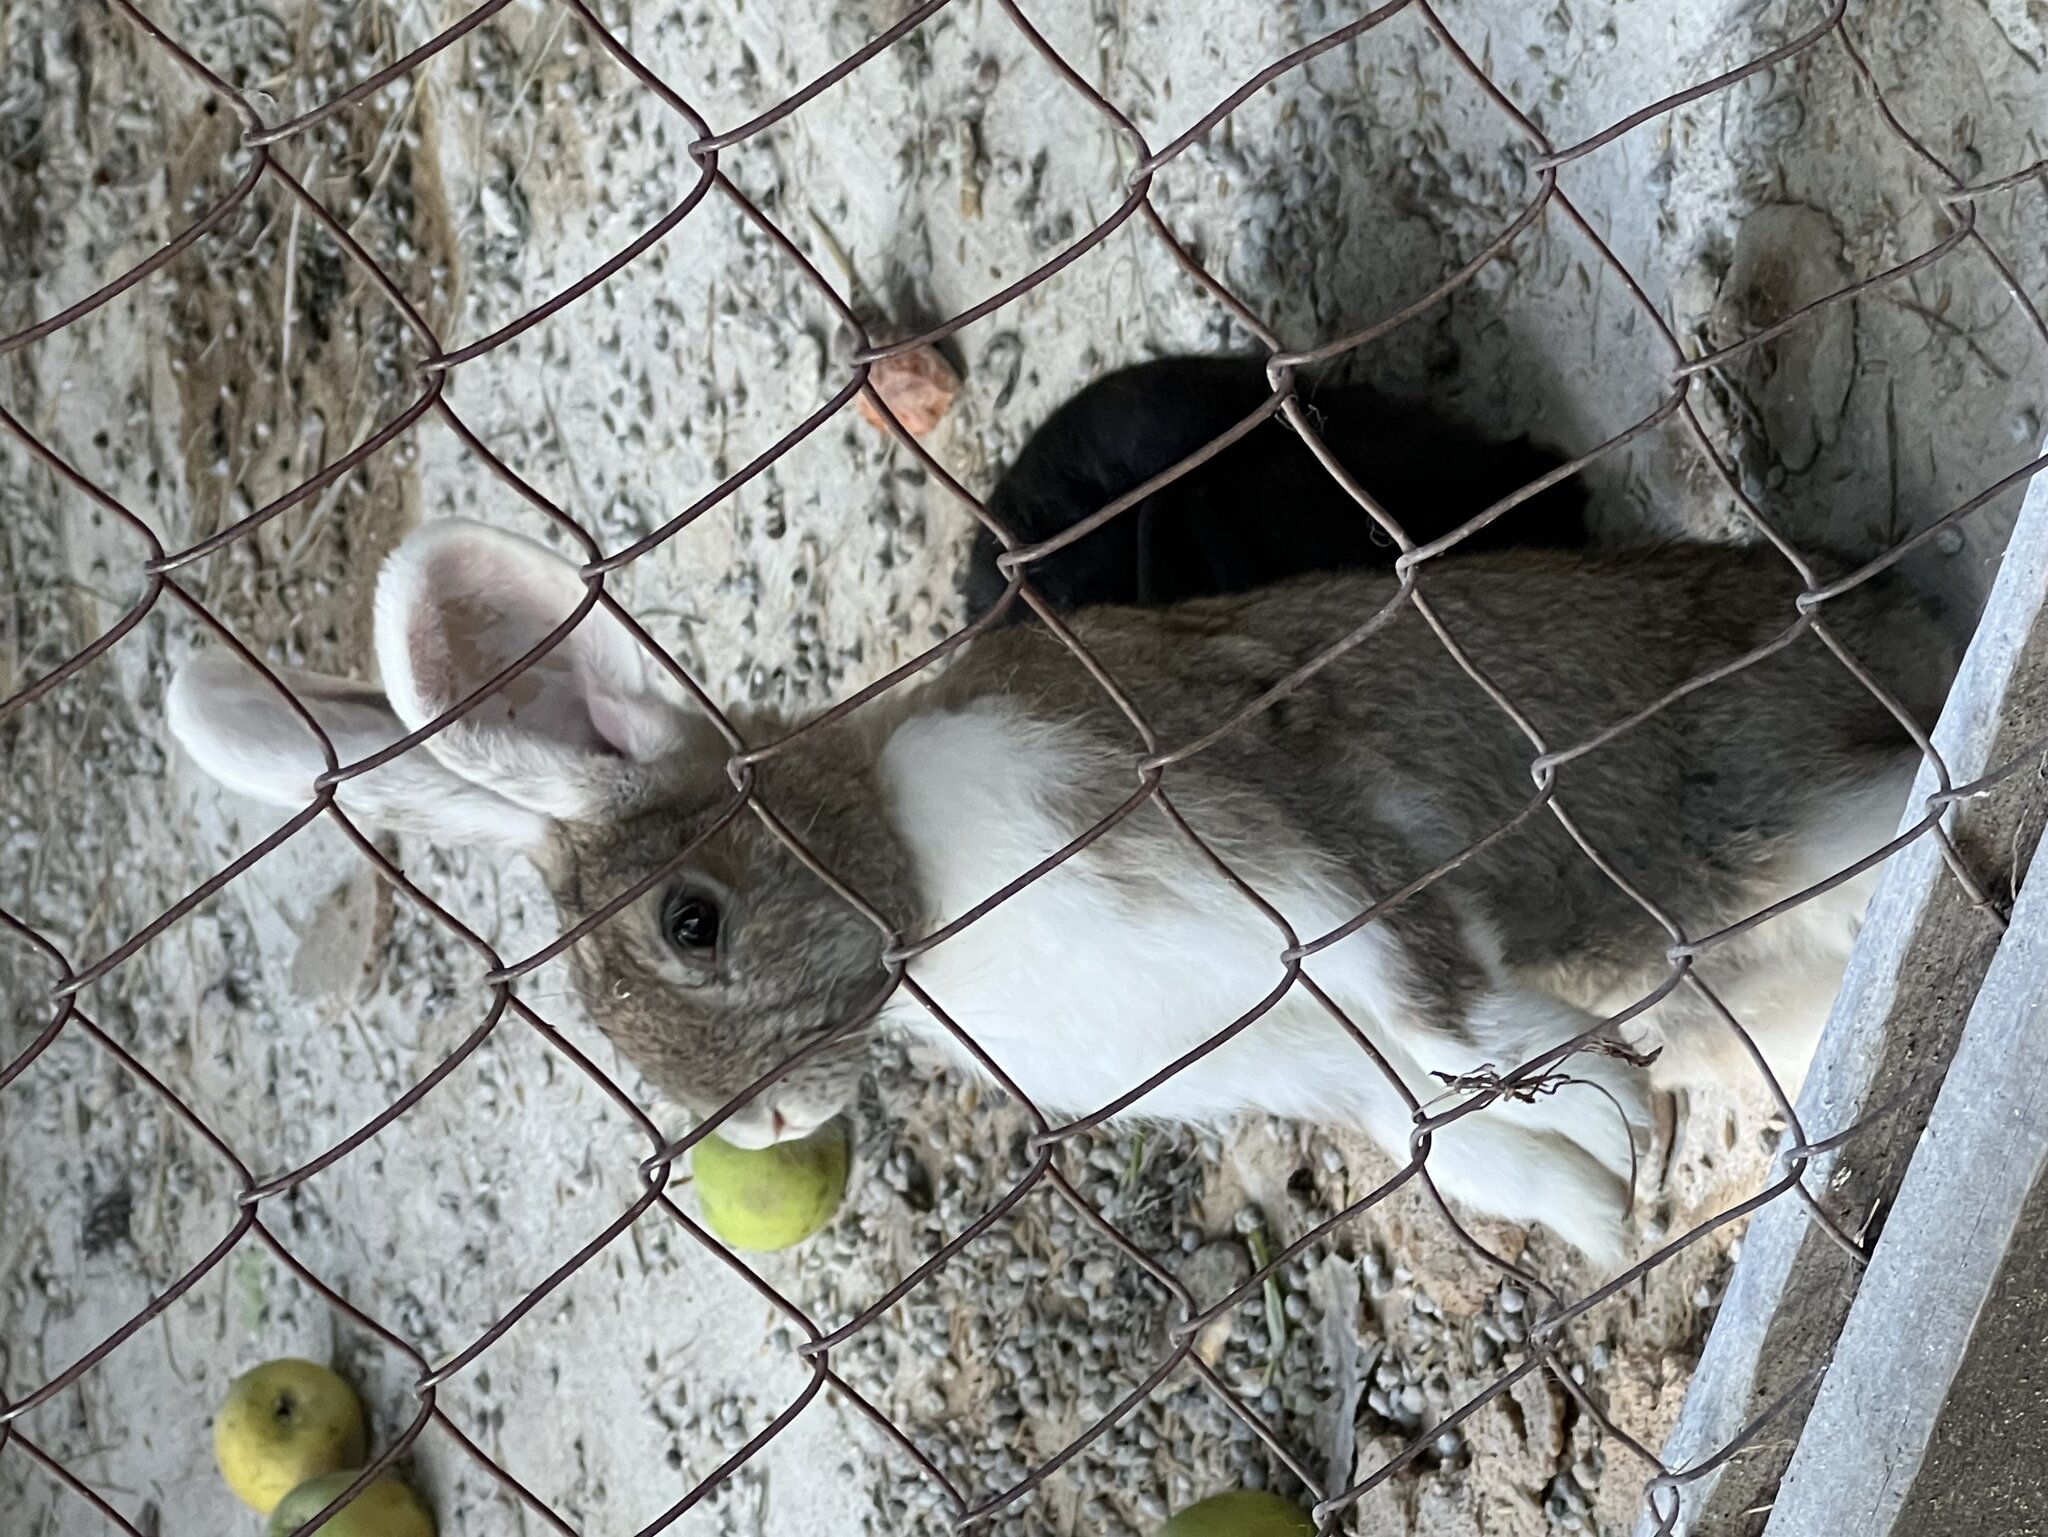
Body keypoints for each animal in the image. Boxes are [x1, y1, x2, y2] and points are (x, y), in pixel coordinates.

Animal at [166, 517, 1951, 1268]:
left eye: (693, 924)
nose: (759, 1126)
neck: (921, 884)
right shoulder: (1303, 1058)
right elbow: (1435, 1130)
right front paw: (1587, 1196)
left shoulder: (1289, 867)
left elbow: (1437, 1000)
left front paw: (1591, 1111)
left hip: (1806, 817)